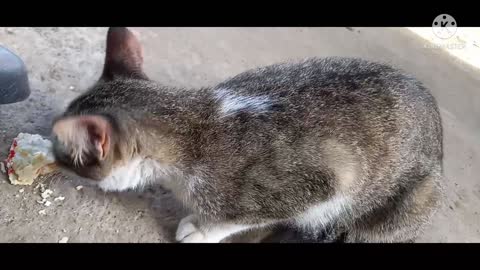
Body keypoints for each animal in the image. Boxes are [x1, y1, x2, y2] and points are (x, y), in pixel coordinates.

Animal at [51, 27, 442, 243]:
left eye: (64, 153)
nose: (51, 154)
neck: (195, 127)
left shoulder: (322, 180)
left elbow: (242, 216)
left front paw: (203, 229)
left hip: (411, 199)